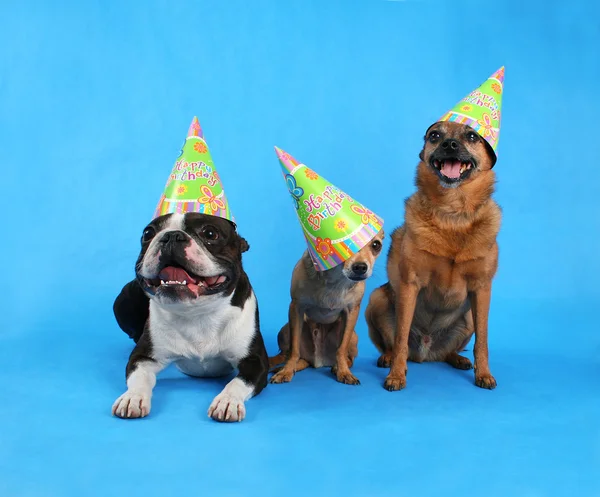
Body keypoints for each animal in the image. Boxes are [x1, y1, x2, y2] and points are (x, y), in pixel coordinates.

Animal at [268, 231, 382, 386]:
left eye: (376, 245)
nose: (360, 267)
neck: (335, 279)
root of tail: (318, 361)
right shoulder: (296, 308)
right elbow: (294, 349)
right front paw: (286, 371)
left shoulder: (352, 311)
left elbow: (342, 349)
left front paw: (344, 372)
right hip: (285, 330)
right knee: (286, 354)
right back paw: (277, 364)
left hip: (353, 336)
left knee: (349, 358)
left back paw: (337, 367)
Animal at [366, 121, 502, 392]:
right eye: (435, 135)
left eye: (472, 136)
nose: (449, 144)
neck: (453, 212)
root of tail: (426, 353)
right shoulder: (410, 284)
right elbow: (400, 336)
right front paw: (396, 375)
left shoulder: (482, 290)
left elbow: (483, 341)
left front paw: (484, 373)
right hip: (376, 299)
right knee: (396, 344)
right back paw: (388, 358)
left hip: (469, 317)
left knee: (450, 351)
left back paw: (458, 359)